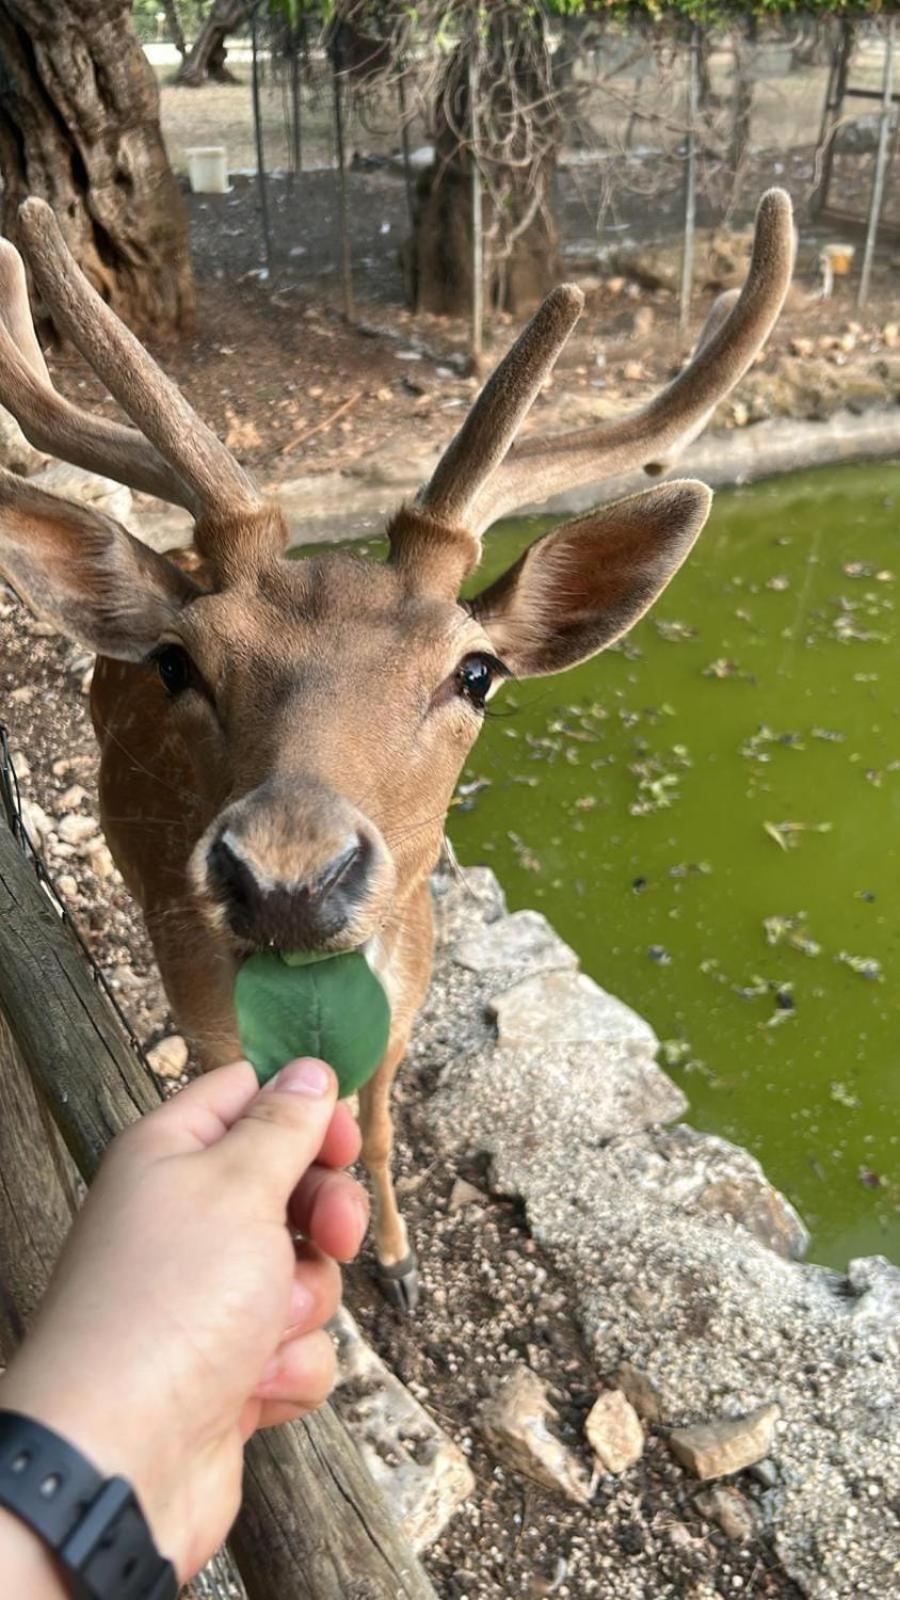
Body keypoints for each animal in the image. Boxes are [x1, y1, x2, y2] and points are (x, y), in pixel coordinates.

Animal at [0, 190, 784, 1312]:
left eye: (476, 672)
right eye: (178, 662)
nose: (288, 875)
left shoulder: (411, 1006)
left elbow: (372, 1124)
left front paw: (402, 1260)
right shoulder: (211, 1027)